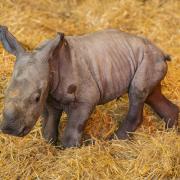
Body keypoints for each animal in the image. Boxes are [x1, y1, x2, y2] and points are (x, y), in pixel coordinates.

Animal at [0, 25, 179, 148]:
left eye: (36, 97)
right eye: (5, 93)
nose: (9, 129)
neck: (51, 62)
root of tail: (161, 53)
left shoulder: (85, 99)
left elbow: (73, 128)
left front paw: (69, 151)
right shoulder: (50, 98)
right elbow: (49, 125)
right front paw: (49, 146)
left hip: (148, 58)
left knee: (137, 91)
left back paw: (114, 142)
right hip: (147, 60)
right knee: (152, 95)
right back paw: (173, 129)